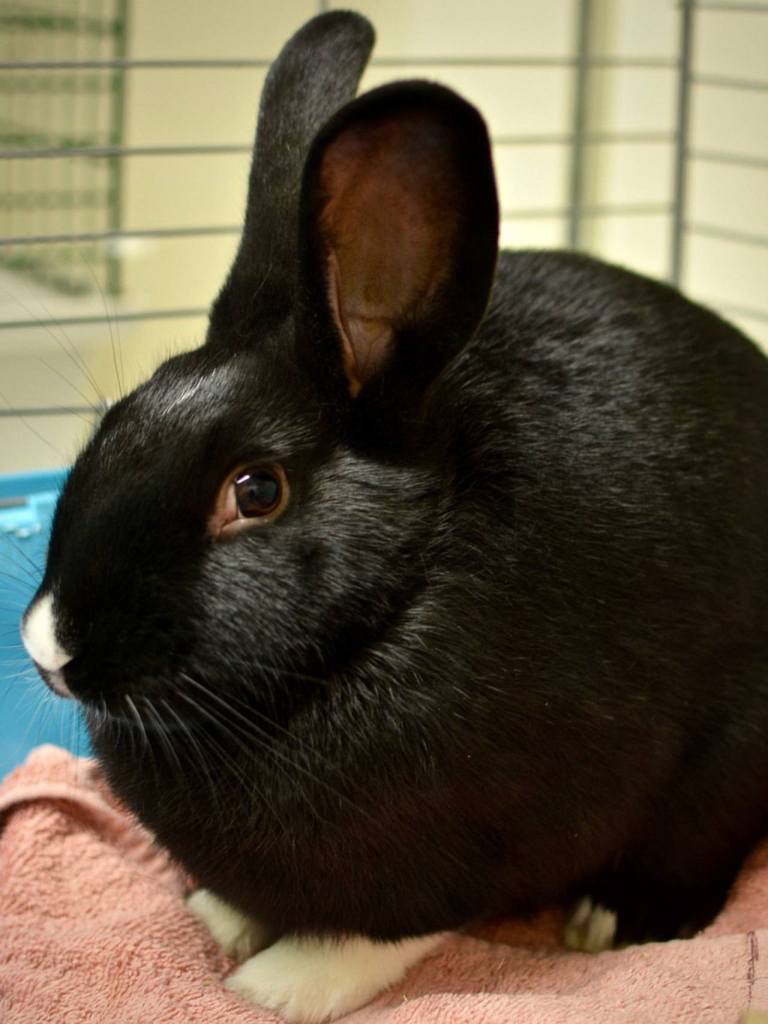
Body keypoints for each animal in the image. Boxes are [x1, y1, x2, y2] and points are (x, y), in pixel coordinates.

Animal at [20, 8, 768, 1023]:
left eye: (256, 492)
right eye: (111, 425)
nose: (50, 645)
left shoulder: (485, 834)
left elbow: (386, 931)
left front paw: (273, 984)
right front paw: (221, 920)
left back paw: (605, 921)